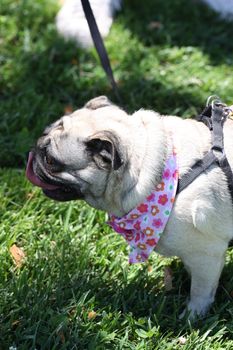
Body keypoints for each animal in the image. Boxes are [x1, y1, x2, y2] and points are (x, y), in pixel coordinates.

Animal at [26, 95, 233, 318]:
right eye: (44, 133)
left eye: (50, 160)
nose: (34, 151)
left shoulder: (206, 254)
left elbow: (201, 291)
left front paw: (191, 316)